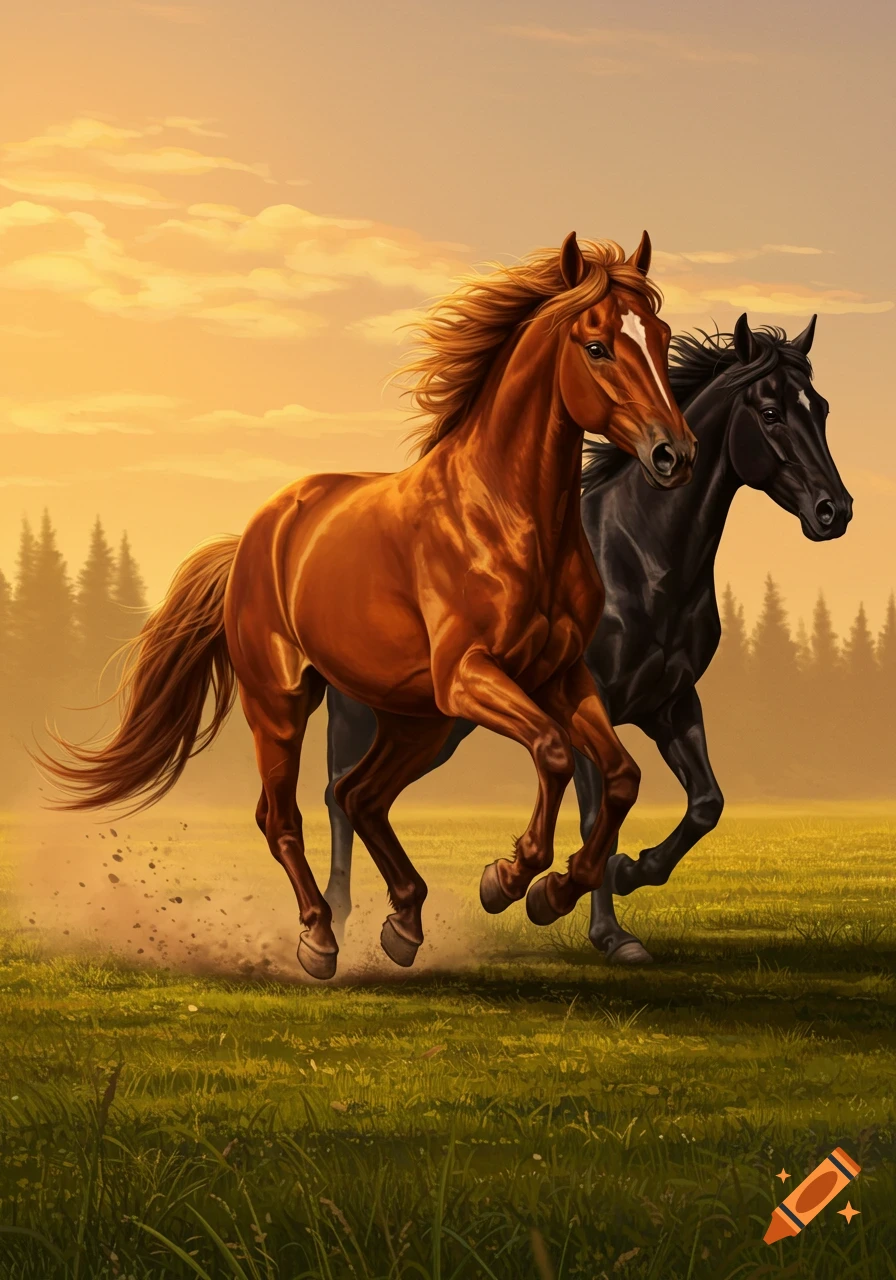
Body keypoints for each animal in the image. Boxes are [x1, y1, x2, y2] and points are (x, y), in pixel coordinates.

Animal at [37, 231, 697, 980]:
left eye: (661, 336)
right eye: (596, 346)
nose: (674, 454)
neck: (507, 516)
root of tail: (255, 536)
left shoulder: (560, 676)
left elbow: (620, 777)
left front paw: (552, 891)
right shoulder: (471, 674)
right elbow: (555, 752)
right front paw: (507, 879)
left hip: (417, 720)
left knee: (361, 795)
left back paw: (404, 923)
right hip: (284, 703)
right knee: (285, 816)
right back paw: (320, 938)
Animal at [320, 314, 852, 959]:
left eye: (820, 407)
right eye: (770, 411)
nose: (834, 511)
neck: (640, 559)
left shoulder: (670, 704)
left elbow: (706, 803)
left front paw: (627, 872)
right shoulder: (584, 703)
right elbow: (599, 812)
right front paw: (593, 923)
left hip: (432, 727)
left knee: (365, 794)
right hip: (366, 716)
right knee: (339, 794)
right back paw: (337, 916)